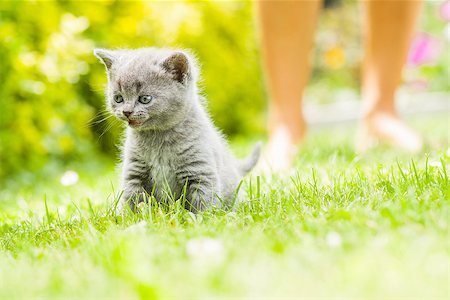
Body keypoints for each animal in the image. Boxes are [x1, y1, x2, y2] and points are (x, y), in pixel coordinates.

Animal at [94, 47, 260, 211]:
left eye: (145, 99)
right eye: (118, 98)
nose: (126, 112)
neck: (158, 138)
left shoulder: (199, 170)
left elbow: (204, 201)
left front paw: (202, 217)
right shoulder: (134, 170)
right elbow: (131, 199)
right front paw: (126, 216)